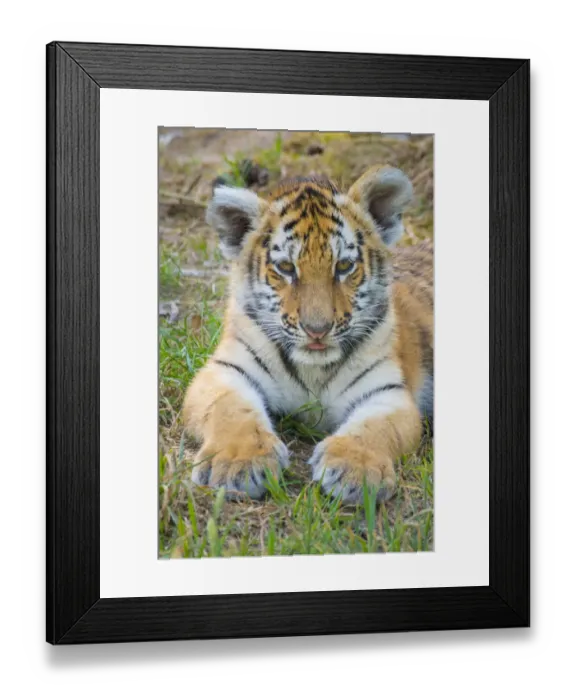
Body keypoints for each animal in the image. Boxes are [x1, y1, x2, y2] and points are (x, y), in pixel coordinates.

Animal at [182, 165, 433, 504]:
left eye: (344, 266)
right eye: (287, 268)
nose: (317, 329)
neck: (313, 369)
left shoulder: (387, 392)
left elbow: (374, 429)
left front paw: (354, 469)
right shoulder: (225, 372)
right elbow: (230, 411)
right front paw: (237, 463)